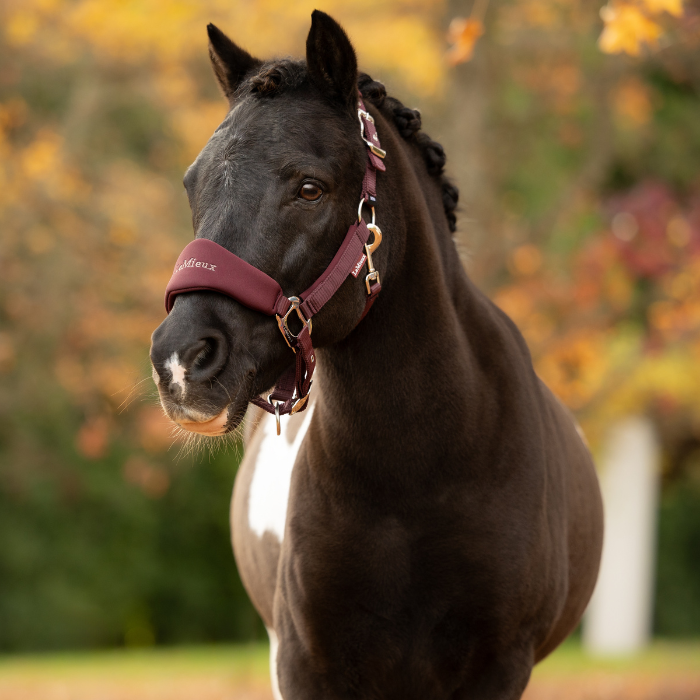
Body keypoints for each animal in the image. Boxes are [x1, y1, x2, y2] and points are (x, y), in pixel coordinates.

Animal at [149, 11, 604, 699]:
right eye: (192, 184)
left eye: (310, 188)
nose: (180, 359)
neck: (415, 471)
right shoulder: (305, 664)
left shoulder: (499, 667)